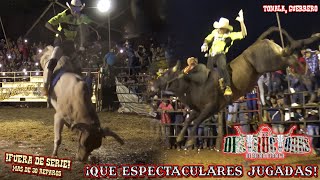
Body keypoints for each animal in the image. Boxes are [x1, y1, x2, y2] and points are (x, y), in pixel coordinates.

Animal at [151, 27, 320, 148]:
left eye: (167, 74)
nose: (152, 85)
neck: (195, 85)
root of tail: (259, 42)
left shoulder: (211, 107)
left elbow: (197, 121)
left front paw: (189, 141)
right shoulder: (198, 109)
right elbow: (189, 120)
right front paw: (180, 137)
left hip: (270, 62)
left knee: (289, 54)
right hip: (274, 61)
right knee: (290, 55)